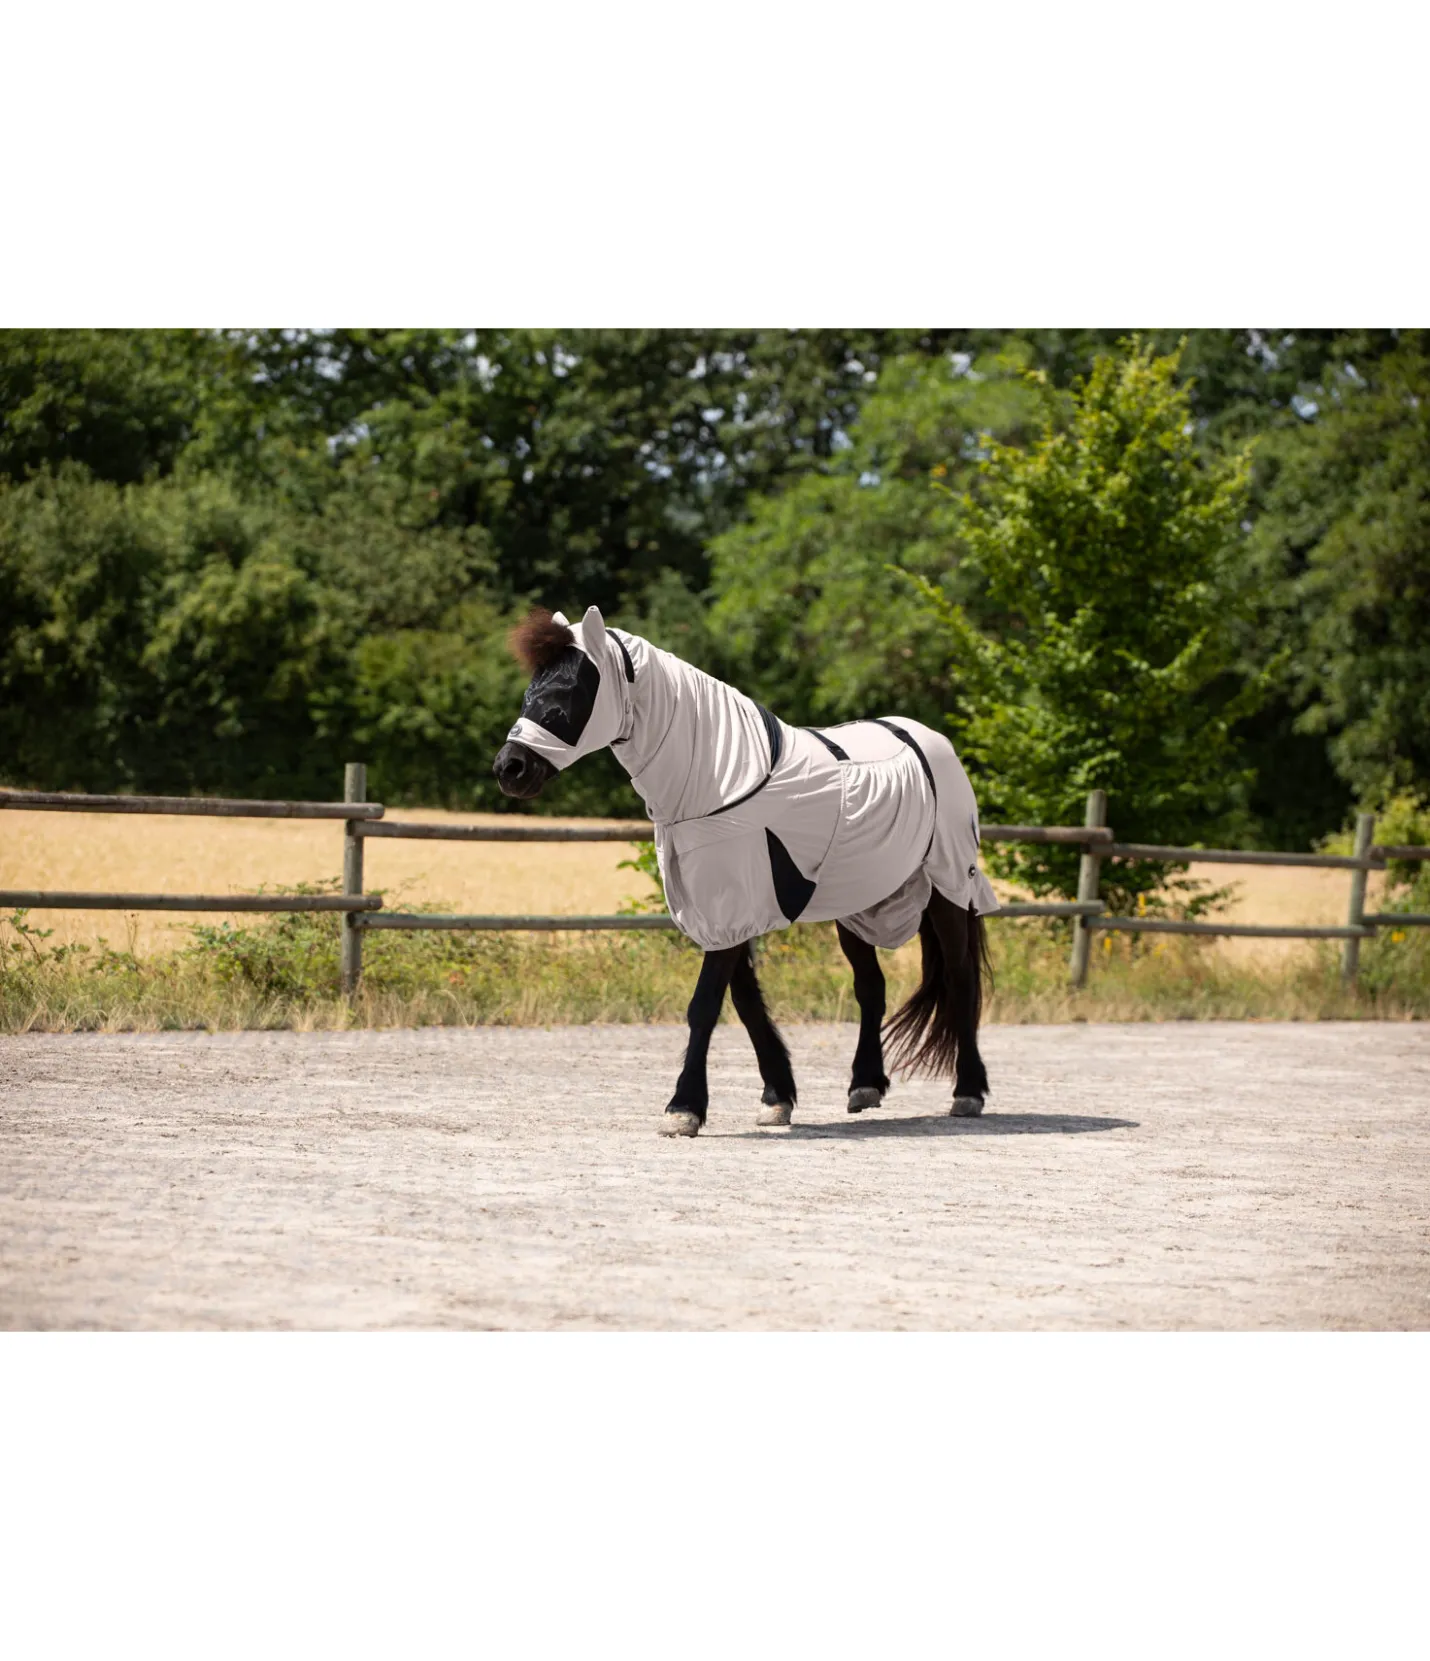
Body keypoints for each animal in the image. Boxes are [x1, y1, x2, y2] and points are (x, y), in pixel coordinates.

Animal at [493, 604, 998, 1137]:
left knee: (961, 979)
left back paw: (967, 1091)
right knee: (871, 988)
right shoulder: (722, 910)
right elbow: (746, 1002)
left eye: (567, 694)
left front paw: (683, 1108)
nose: (510, 768)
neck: (718, 781)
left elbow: (705, 1005)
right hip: (857, 900)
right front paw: (777, 1096)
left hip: (948, 888)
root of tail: (928, 739)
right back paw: (865, 1085)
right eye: (529, 692)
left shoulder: (730, 902)